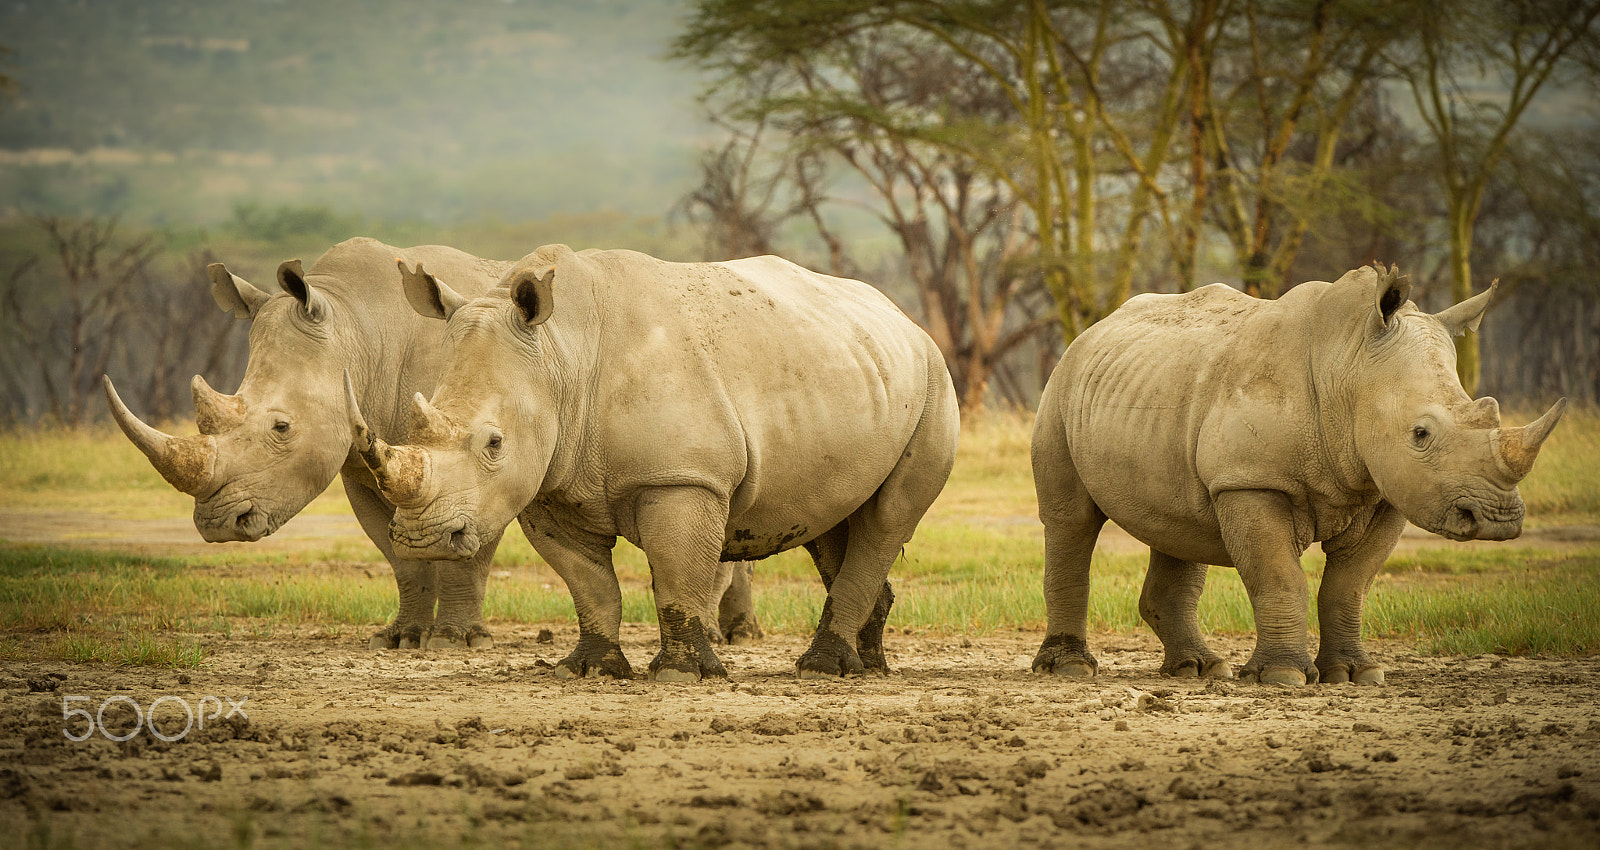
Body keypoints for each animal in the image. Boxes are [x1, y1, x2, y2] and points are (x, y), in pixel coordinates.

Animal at [102, 237, 767, 650]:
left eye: (281, 429)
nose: (218, 525)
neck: (356, 328)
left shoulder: (480, 468)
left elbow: (465, 548)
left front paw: (457, 641)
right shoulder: (364, 464)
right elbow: (399, 554)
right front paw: (401, 638)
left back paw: (731, 636)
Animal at [346, 244, 959, 681]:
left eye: (494, 444)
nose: (422, 539)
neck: (561, 357)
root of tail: (904, 318)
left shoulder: (683, 479)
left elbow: (675, 572)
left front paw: (683, 674)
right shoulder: (550, 488)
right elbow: (588, 582)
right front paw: (588, 669)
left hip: (934, 380)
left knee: (887, 519)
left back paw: (823, 670)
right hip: (857, 370)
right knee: (833, 520)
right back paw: (866, 666)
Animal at [1030, 264, 1566, 686]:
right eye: (1420, 433)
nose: (1498, 520)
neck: (1350, 367)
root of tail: (1094, 330)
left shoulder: (1386, 490)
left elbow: (1350, 585)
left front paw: (1356, 675)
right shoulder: (1252, 479)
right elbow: (1279, 576)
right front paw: (1283, 676)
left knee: (1181, 527)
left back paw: (1198, 670)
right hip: (1060, 388)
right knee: (1071, 521)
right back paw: (1070, 669)